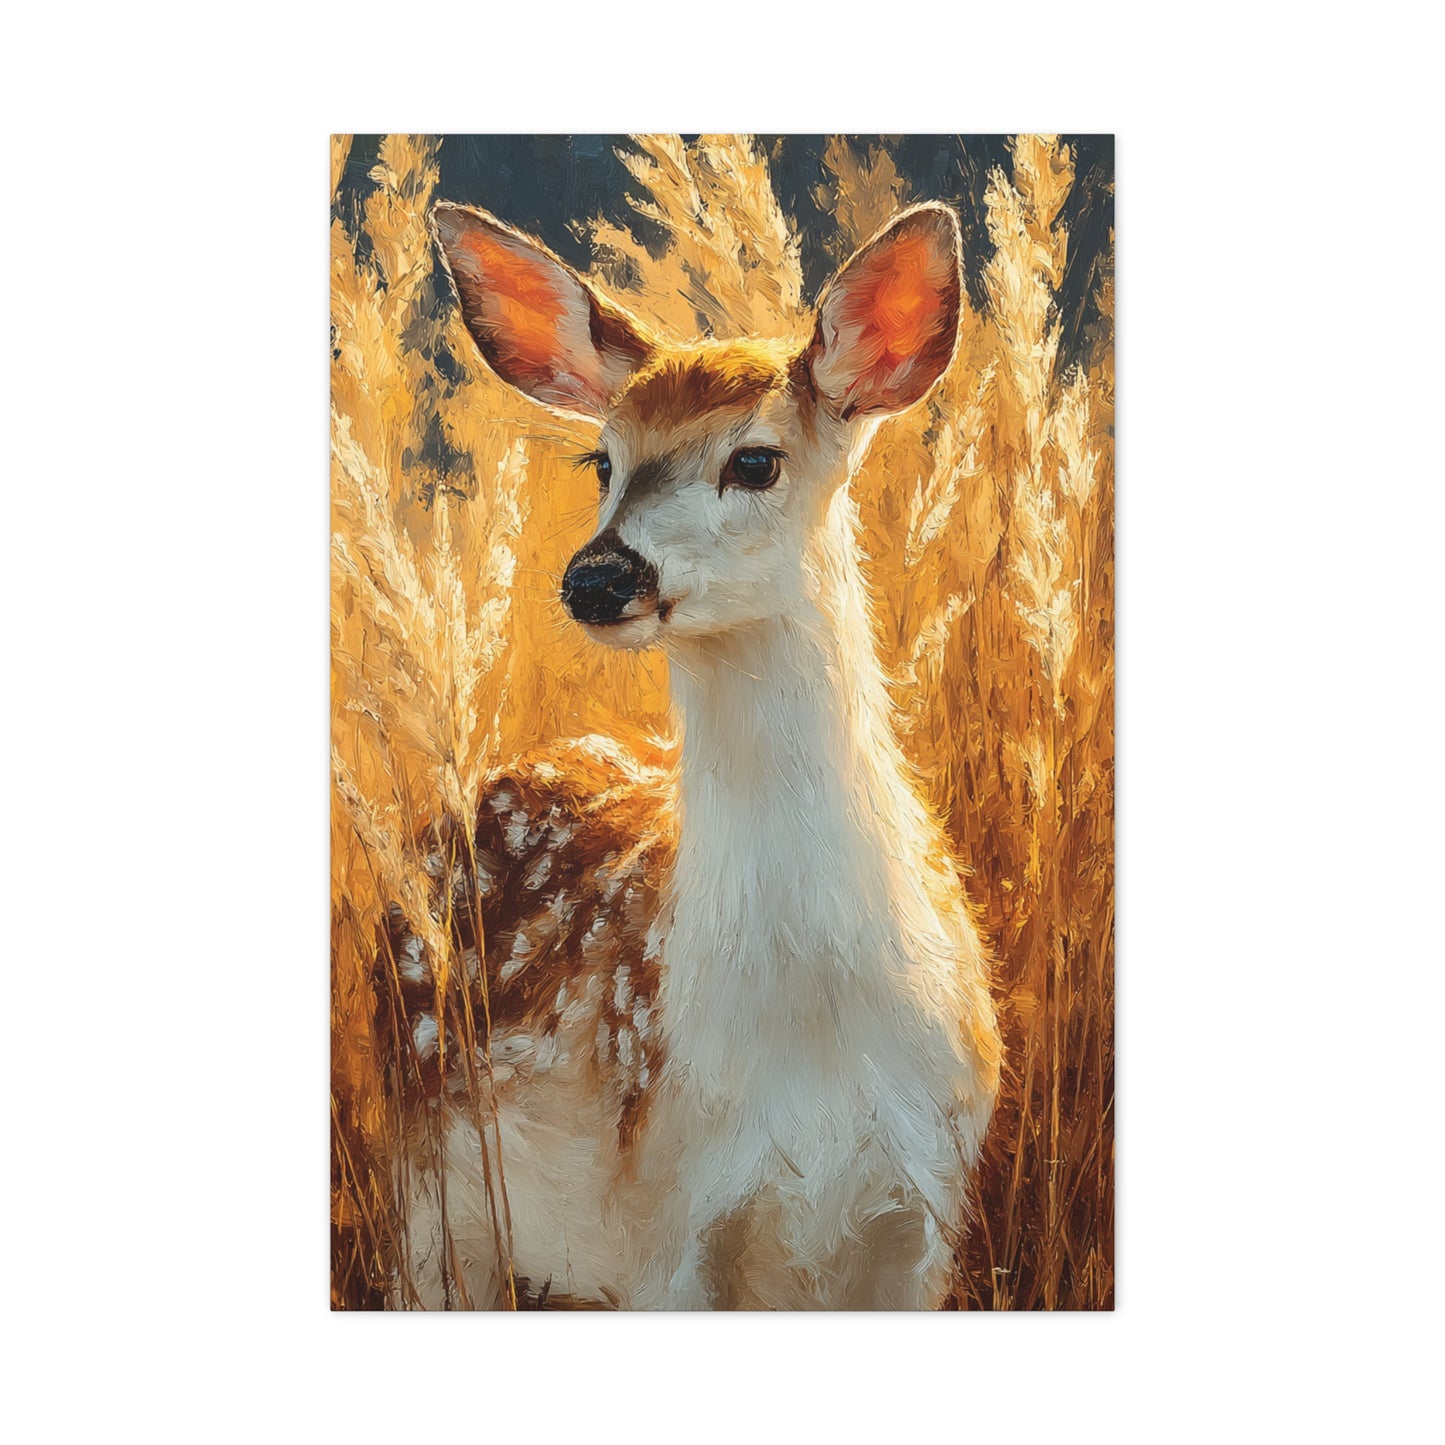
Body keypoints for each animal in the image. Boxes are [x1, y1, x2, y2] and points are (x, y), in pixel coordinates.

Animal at [382, 197, 1002, 1310]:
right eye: (602, 461)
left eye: (753, 460)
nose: (597, 576)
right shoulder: (663, 1208)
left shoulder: (924, 1212)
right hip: (426, 1193)